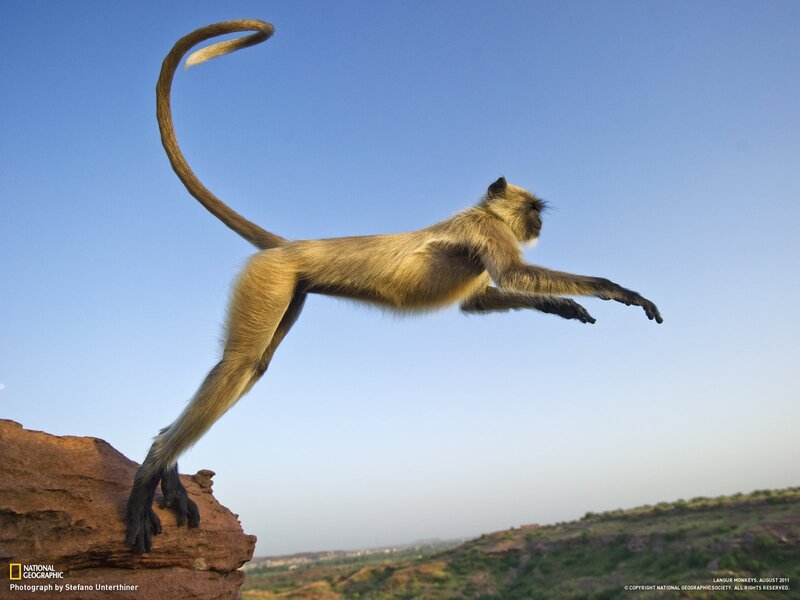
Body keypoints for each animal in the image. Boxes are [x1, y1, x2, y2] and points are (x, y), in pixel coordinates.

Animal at [125, 19, 663, 553]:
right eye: (532, 210)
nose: (539, 224)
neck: (484, 215)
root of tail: (290, 246)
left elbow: (478, 301)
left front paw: (565, 307)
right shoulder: (487, 231)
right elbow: (511, 276)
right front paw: (618, 291)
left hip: (290, 288)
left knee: (253, 366)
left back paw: (168, 474)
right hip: (271, 279)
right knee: (239, 364)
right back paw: (152, 471)